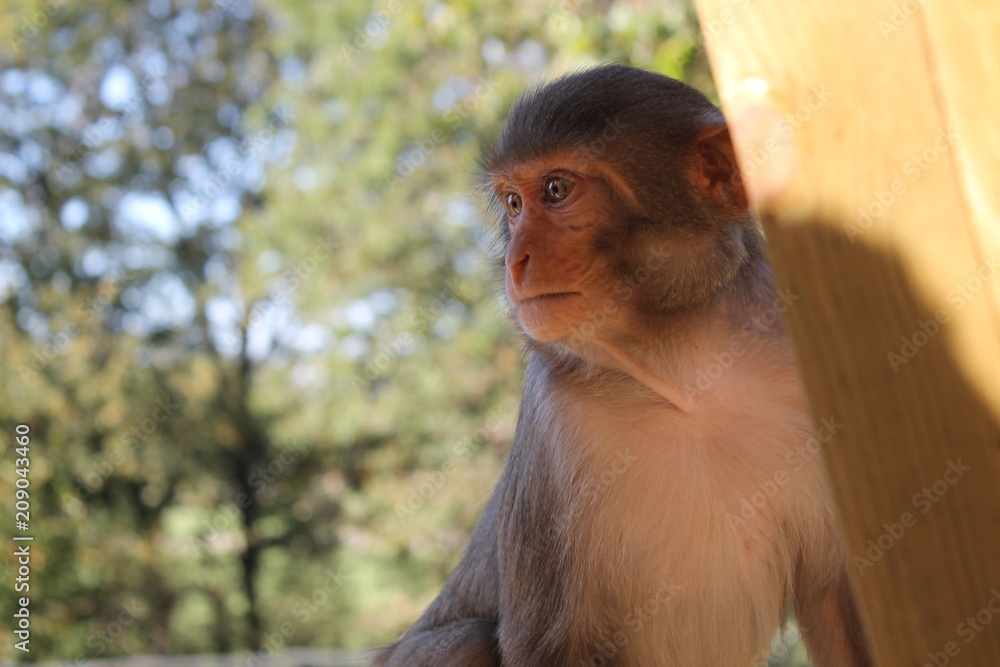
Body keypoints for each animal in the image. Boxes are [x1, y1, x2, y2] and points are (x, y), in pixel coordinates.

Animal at [375, 64, 871, 666]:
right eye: (514, 204)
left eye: (557, 190)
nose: (516, 260)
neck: (689, 377)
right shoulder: (553, 418)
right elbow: (547, 646)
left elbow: (834, 596)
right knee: (467, 640)